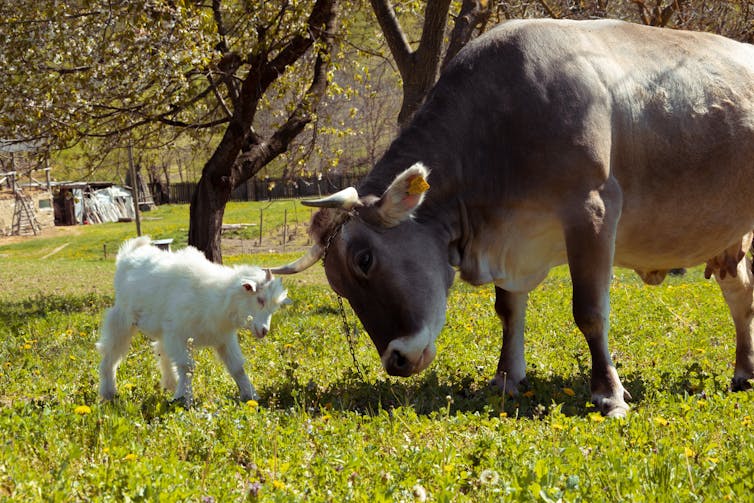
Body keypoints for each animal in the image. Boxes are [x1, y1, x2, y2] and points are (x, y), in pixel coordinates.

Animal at [272, 18, 754, 417]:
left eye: (365, 260)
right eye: (339, 286)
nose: (396, 361)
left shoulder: (592, 208)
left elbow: (590, 311)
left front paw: (609, 394)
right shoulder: (511, 236)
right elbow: (507, 310)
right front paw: (506, 378)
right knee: (740, 293)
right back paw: (743, 373)